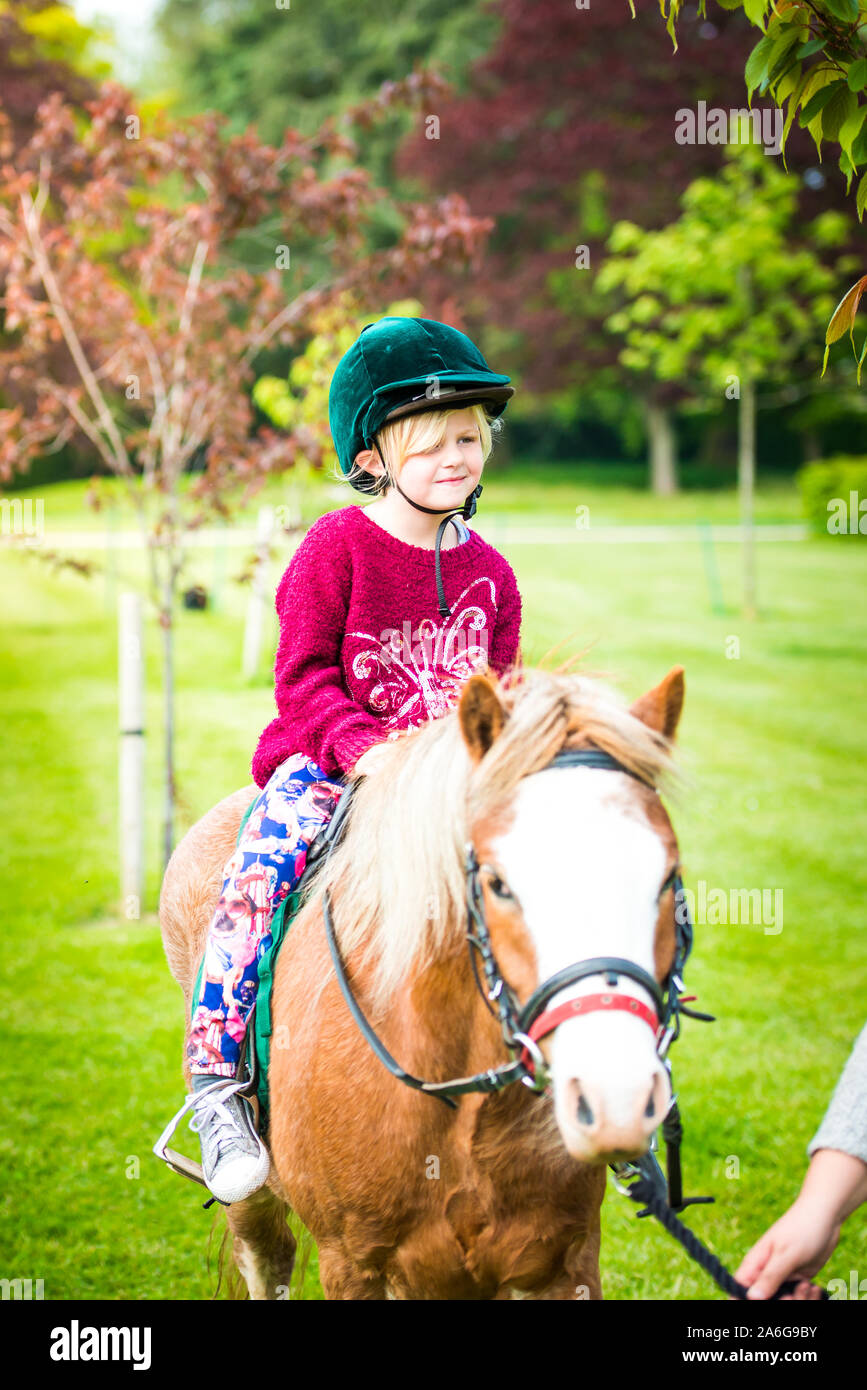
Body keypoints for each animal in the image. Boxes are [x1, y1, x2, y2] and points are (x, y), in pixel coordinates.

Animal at [161, 661, 683, 1289]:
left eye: (668, 878)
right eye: (498, 883)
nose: (615, 1102)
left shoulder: (561, 1264)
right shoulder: (352, 1264)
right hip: (252, 1200)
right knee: (267, 1258)